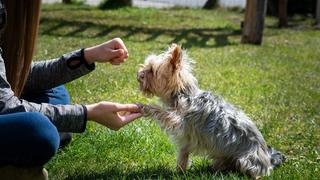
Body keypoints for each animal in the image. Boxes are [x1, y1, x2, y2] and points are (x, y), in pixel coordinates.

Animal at [136, 44, 286, 178]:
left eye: (151, 70)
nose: (138, 75)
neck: (183, 94)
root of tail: (268, 158)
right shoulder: (186, 139)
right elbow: (183, 155)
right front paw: (179, 172)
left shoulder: (178, 120)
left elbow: (162, 112)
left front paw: (144, 106)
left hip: (247, 160)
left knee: (254, 173)